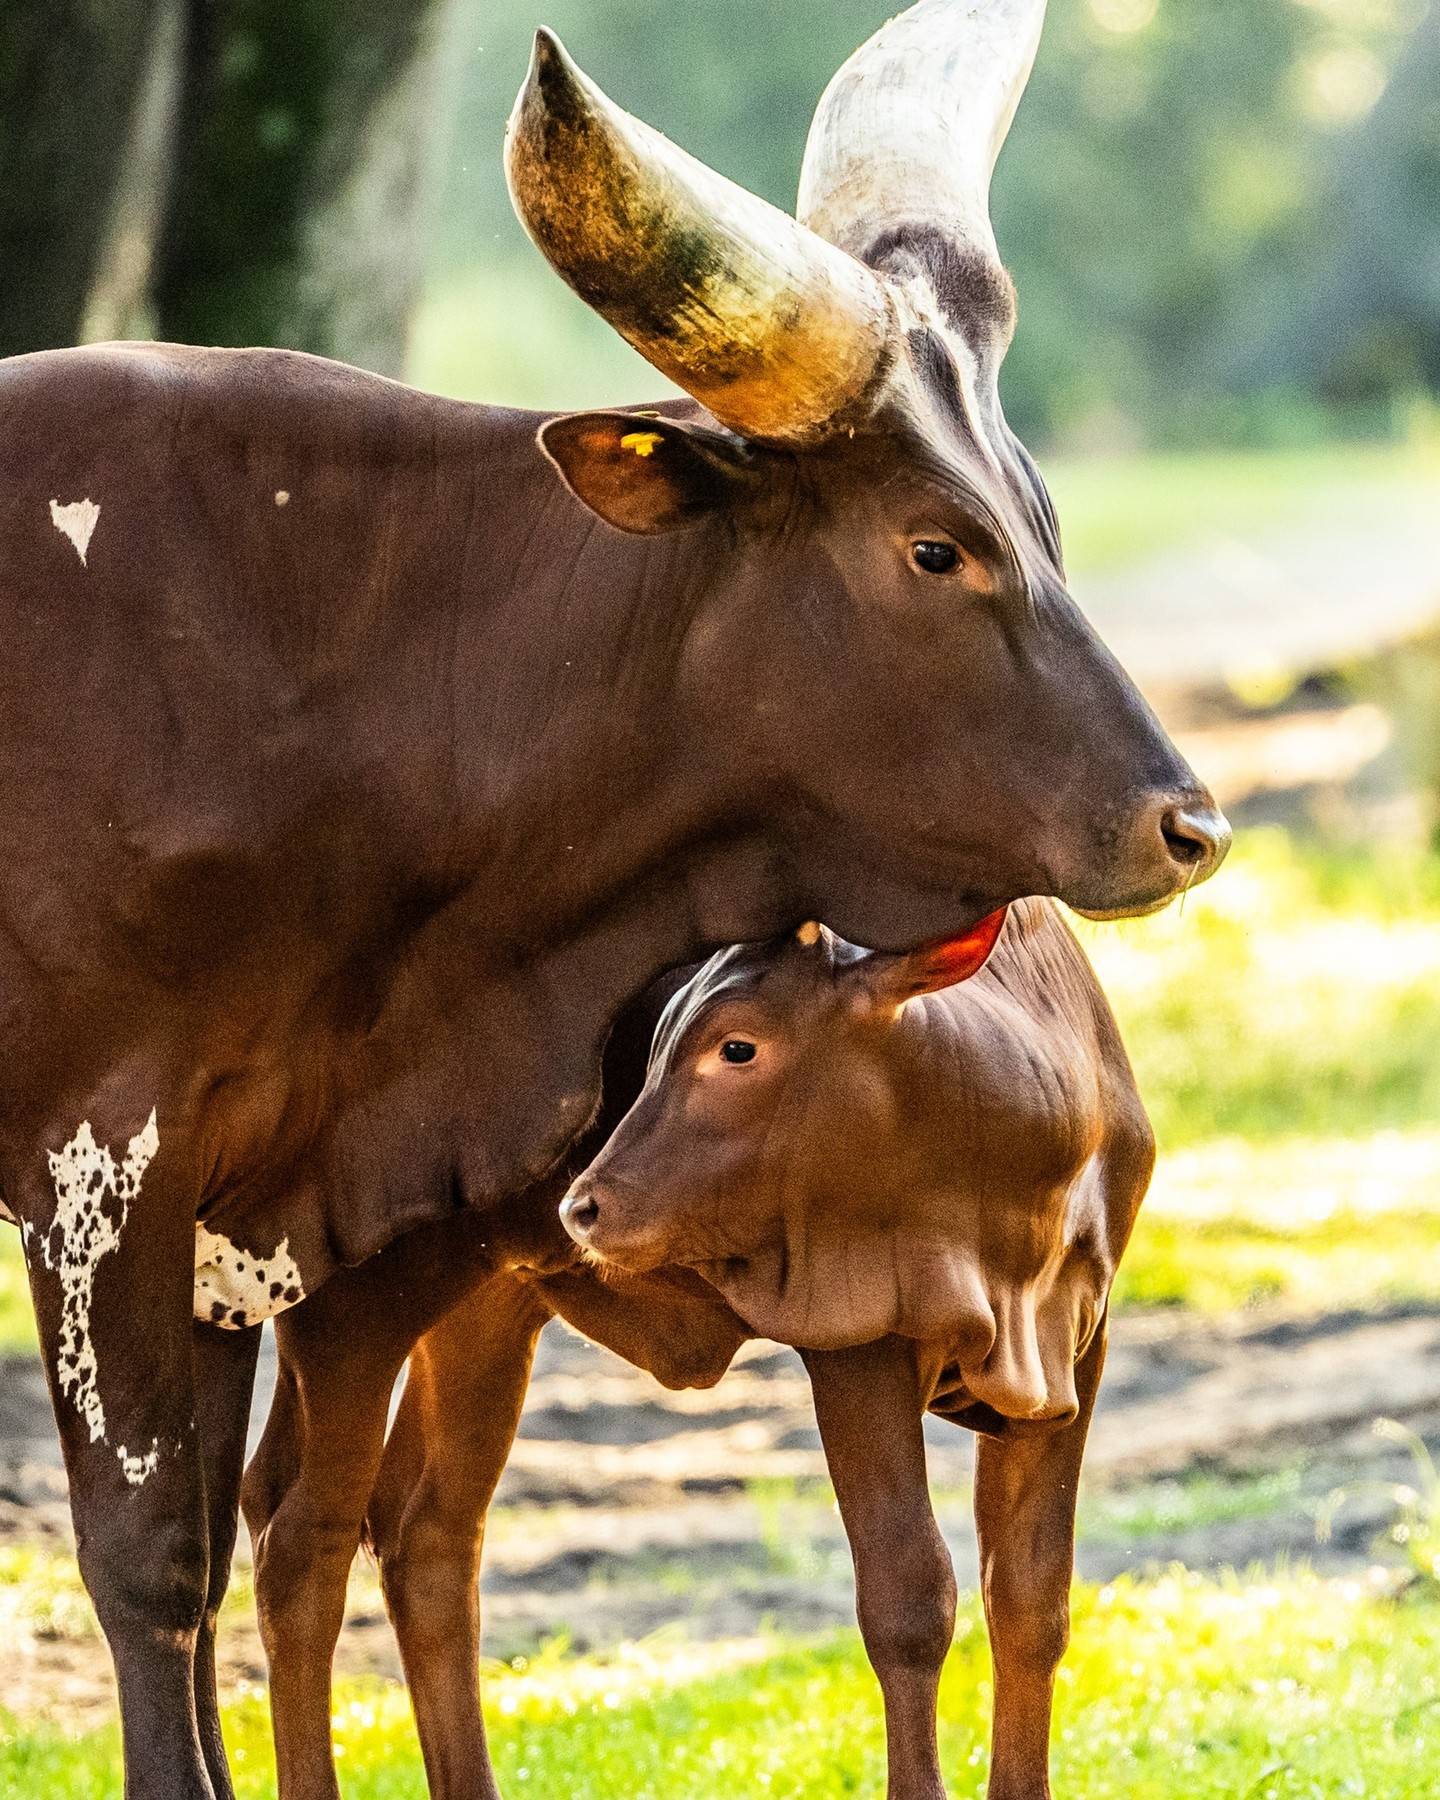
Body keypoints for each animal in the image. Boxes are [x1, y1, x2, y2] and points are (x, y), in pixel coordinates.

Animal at [245, 897, 1146, 1800]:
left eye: (735, 1046)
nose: (584, 1205)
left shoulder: (1076, 1354)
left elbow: (1031, 1601)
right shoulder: (857, 1337)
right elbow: (909, 1599)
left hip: (486, 1307)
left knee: (427, 1533)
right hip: (352, 1303)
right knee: (300, 1543)